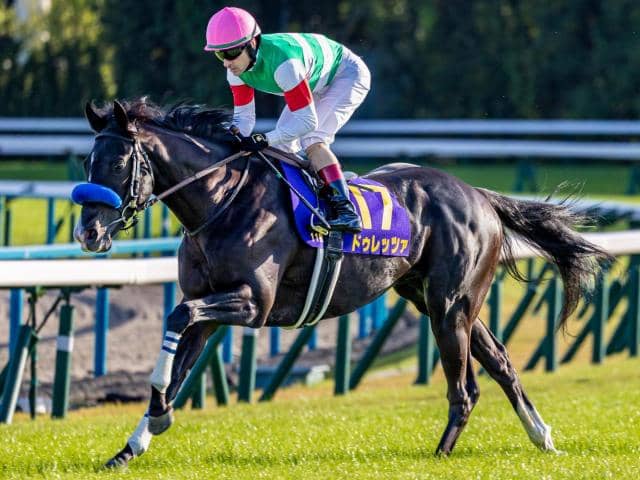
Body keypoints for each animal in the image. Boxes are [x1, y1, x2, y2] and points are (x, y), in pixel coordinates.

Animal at [73, 99, 612, 468]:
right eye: (86, 163)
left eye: (118, 163)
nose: (88, 233)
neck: (223, 200)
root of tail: (479, 195)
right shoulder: (209, 302)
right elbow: (180, 355)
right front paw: (136, 441)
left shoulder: (253, 304)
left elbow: (176, 316)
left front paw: (156, 415)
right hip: (437, 301)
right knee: (500, 362)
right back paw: (541, 435)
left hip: (450, 306)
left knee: (465, 388)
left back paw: (442, 452)